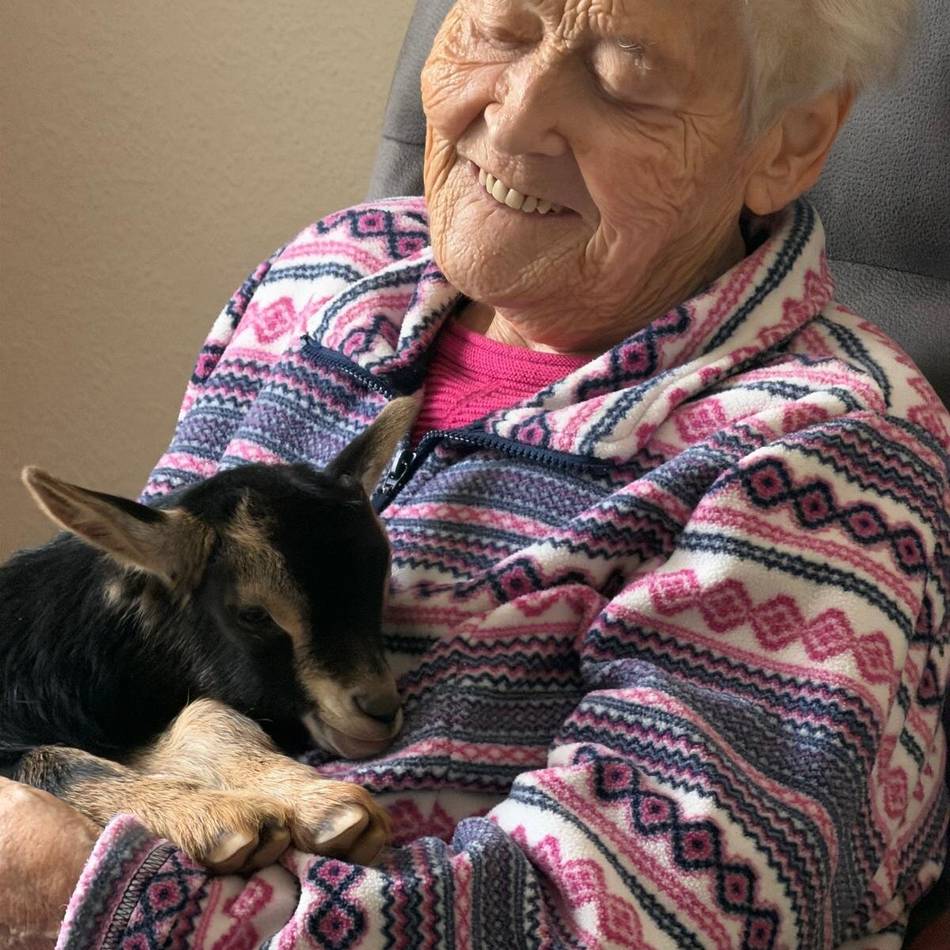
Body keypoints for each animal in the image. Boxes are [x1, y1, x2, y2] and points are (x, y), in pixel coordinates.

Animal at [0, 398, 416, 872]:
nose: (380, 710)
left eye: (381, 584)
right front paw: (217, 819)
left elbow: (208, 713)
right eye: (254, 615)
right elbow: (55, 762)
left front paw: (320, 804)